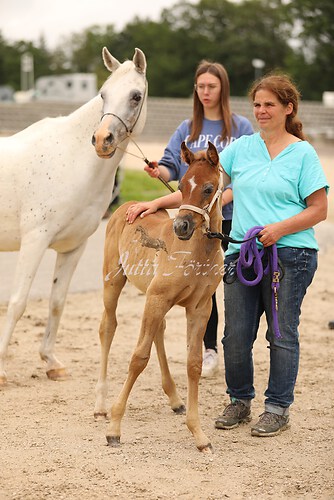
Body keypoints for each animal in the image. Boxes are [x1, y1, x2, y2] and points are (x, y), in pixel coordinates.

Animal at [0, 47, 147, 384]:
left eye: (135, 96)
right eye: (103, 94)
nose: (102, 140)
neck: (70, 159)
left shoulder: (73, 247)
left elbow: (57, 302)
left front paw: (51, 362)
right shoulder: (35, 241)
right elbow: (17, 303)